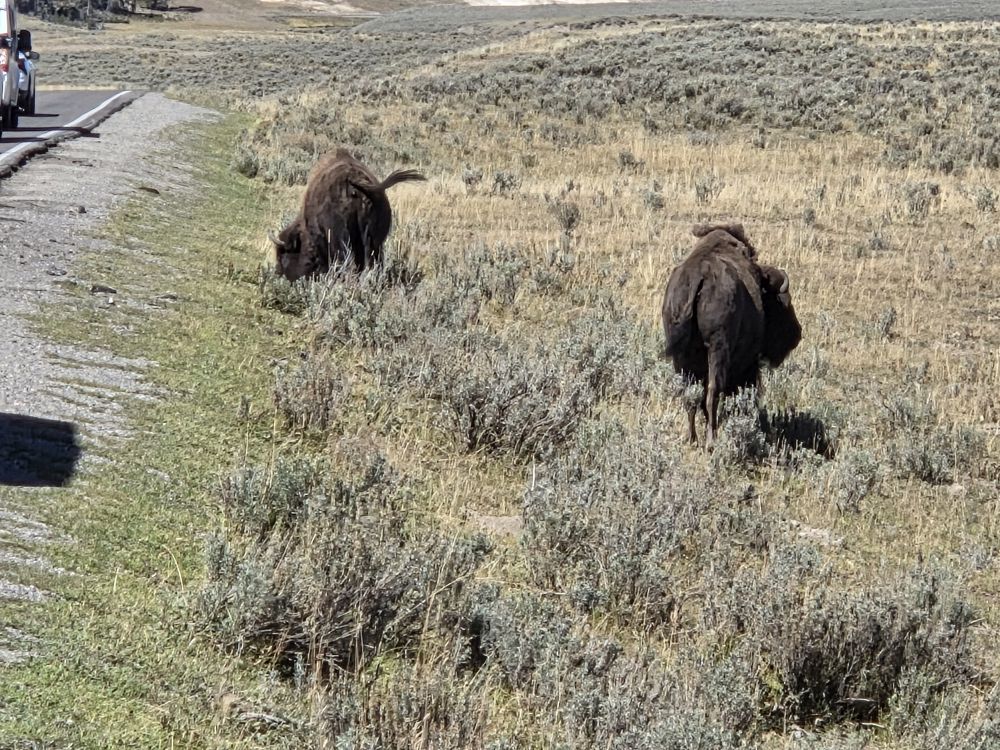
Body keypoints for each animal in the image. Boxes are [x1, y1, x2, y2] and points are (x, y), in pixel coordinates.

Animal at [662, 223, 802, 448]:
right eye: (783, 302)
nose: (796, 334)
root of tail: (700, 277)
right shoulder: (749, 365)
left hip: (682, 357)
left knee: (691, 396)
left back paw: (692, 439)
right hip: (718, 350)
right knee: (713, 392)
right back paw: (712, 442)